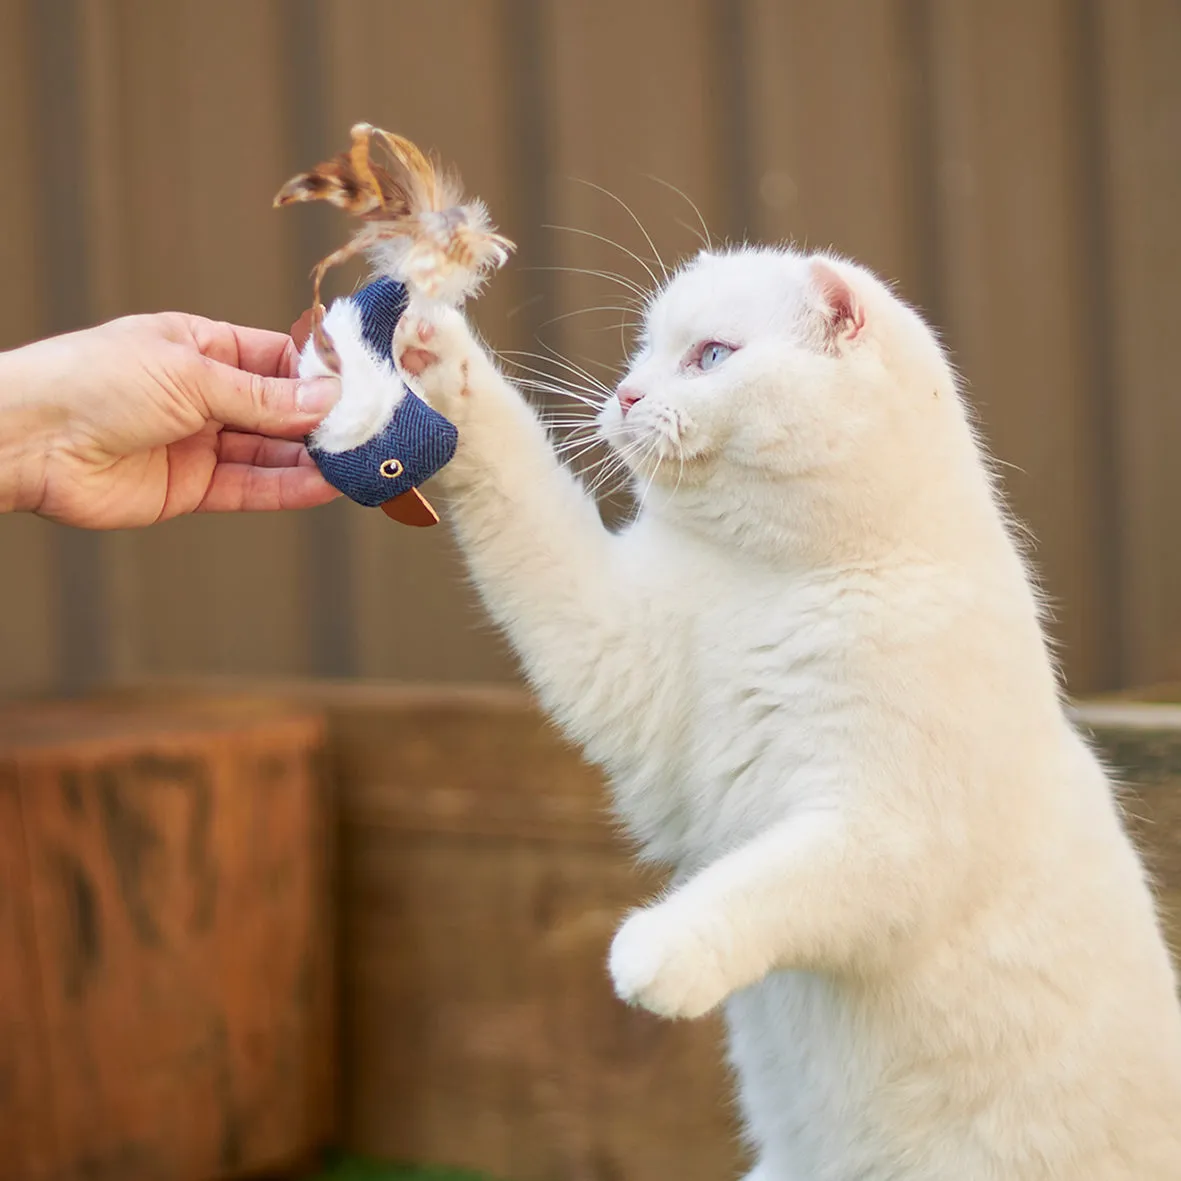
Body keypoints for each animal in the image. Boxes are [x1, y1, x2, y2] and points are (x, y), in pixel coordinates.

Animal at [316, 244, 1181, 1176]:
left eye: (710, 356)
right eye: (645, 351)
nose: (625, 394)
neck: (764, 582)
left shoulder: (881, 837)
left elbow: (757, 883)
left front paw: (651, 958)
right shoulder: (610, 644)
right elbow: (519, 483)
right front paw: (430, 356)